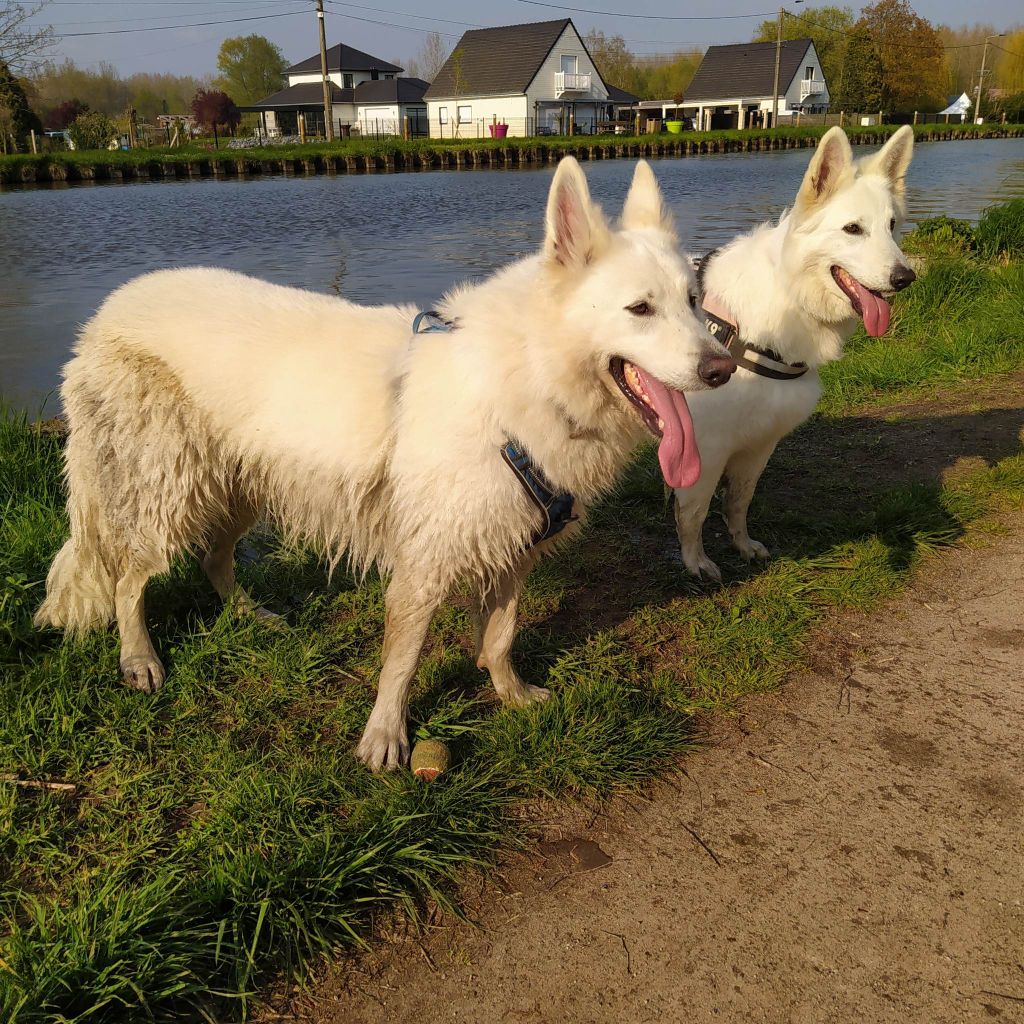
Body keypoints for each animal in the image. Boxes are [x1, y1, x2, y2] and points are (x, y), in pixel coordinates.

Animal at [35, 157, 735, 771]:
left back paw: (250, 615)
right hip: (170, 495)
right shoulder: (425, 566)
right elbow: (402, 661)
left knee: (213, 557)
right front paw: (384, 737)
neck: (527, 378)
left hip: (241, 487)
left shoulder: (514, 547)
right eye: (640, 309)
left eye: (694, 301)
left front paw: (508, 692)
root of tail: (104, 316)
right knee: (129, 580)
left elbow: (501, 634)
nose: (722, 369)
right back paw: (139, 658)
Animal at [672, 126, 916, 581]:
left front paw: (742, 545)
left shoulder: (758, 445)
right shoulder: (706, 450)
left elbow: (738, 502)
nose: (905, 277)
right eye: (852, 229)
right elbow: (693, 515)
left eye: (892, 226)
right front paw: (696, 563)